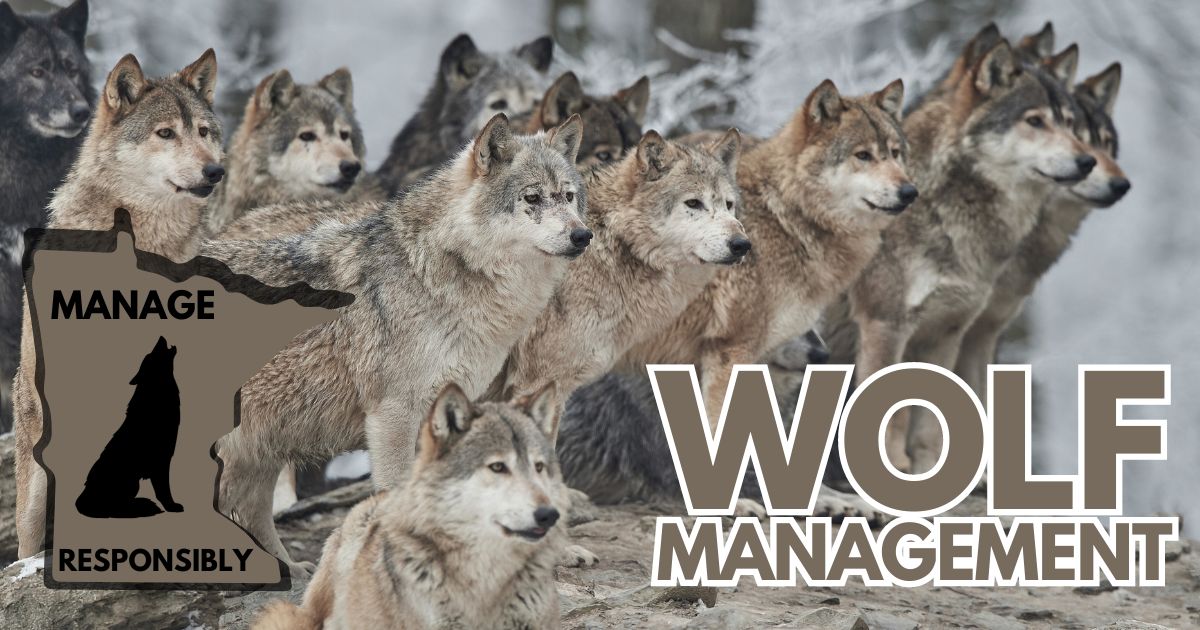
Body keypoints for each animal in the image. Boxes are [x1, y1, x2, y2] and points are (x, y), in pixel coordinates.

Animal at [76, 336, 183, 518]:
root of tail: (83, 496)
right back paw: (144, 507)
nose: (160, 337)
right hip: (131, 482)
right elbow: (164, 489)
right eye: (151, 355)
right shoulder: (162, 460)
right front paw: (172, 506)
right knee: (115, 507)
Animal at [202, 114, 587, 576]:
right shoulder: (394, 414)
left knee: (250, 510)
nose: (583, 235)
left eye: (568, 197)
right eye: (533, 197)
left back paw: (289, 570)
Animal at [837, 38, 1095, 474]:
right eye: (1035, 121)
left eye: (1070, 124)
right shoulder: (885, 324)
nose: (1087, 161)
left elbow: (930, 427)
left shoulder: (949, 332)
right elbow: (894, 418)